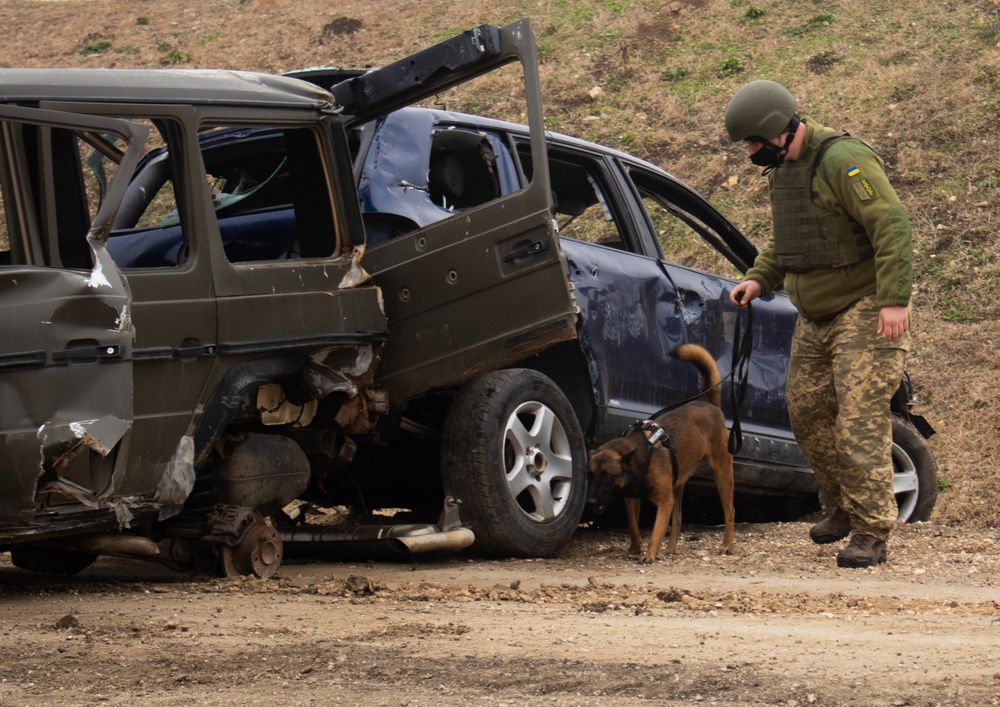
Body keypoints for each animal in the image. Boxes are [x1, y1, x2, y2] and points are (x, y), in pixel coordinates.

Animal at [584, 344, 736, 564]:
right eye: (590, 475)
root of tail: (710, 403)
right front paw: (635, 548)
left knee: (729, 511)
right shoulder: (632, 500)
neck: (642, 455)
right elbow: (634, 527)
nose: (591, 502)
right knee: (678, 519)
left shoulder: (664, 502)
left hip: (722, 474)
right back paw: (670, 550)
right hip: (678, 485)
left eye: (607, 476)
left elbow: (656, 531)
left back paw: (727, 545)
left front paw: (649, 554)